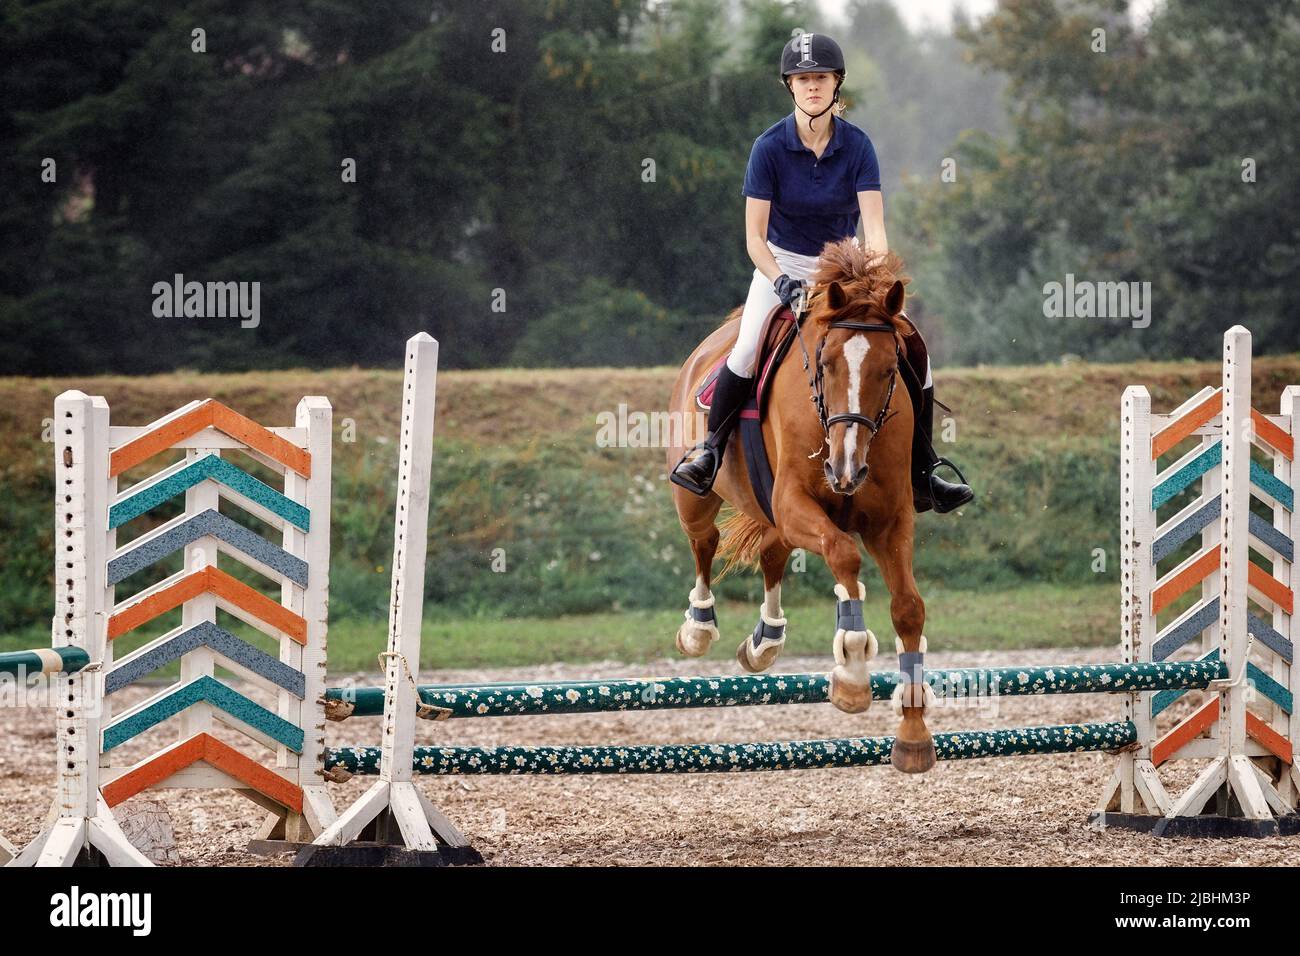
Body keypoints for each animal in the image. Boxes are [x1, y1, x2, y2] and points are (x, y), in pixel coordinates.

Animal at [670, 243, 935, 775]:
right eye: (826, 364)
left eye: (889, 370)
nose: (847, 470)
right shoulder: (795, 503)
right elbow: (844, 554)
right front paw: (851, 670)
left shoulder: (889, 521)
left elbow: (908, 608)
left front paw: (914, 735)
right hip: (697, 498)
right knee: (704, 541)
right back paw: (698, 627)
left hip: (775, 515)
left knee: (772, 552)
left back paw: (765, 641)